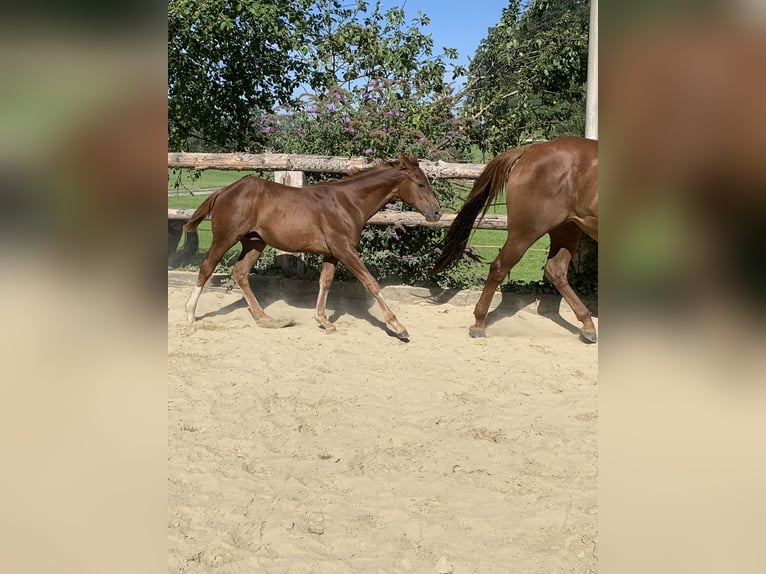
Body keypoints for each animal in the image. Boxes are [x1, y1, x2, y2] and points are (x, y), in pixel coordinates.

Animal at [182, 155, 440, 340]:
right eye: (420, 184)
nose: (436, 213)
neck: (347, 203)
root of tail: (224, 190)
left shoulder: (332, 253)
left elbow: (325, 282)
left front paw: (324, 321)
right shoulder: (344, 249)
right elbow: (370, 283)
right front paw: (399, 327)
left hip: (254, 242)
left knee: (240, 273)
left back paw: (266, 319)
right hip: (225, 238)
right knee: (207, 267)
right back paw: (190, 314)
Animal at [432, 137, 600, 344]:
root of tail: (533, 148)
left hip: (566, 230)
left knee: (555, 270)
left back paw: (588, 326)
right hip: (526, 231)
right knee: (499, 267)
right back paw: (479, 324)